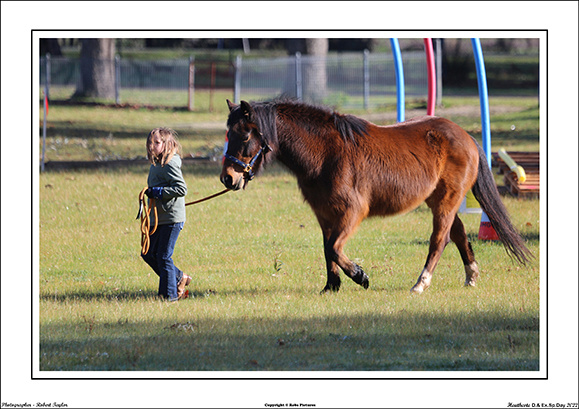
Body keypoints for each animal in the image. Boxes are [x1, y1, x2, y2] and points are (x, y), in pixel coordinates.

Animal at [220, 97, 532, 292]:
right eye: (227, 134)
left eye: (244, 136)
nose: (228, 178)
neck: (327, 153)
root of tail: (466, 136)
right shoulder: (324, 214)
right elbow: (327, 248)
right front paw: (331, 286)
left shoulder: (352, 212)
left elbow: (334, 248)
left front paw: (360, 276)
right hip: (440, 200)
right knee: (457, 234)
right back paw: (471, 275)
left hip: (447, 201)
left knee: (439, 240)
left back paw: (421, 283)